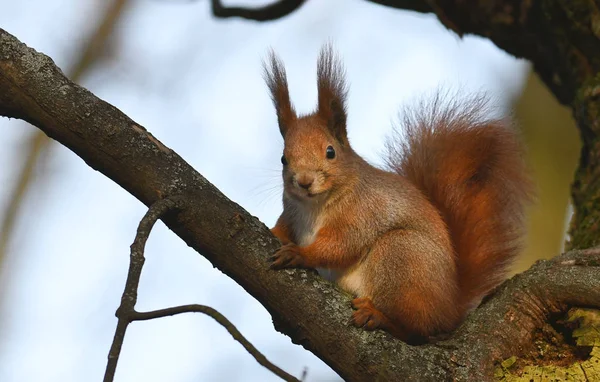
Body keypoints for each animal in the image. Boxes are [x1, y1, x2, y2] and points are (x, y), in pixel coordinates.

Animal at [264, 45, 532, 344]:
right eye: (284, 159)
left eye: (330, 152)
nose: (304, 182)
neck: (314, 205)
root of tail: (450, 309)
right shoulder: (292, 211)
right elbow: (285, 227)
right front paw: (274, 232)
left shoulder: (363, 212)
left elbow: (340, 244)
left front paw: (300, 253)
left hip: (401, 256)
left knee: (415, 328)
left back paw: (378, 316)